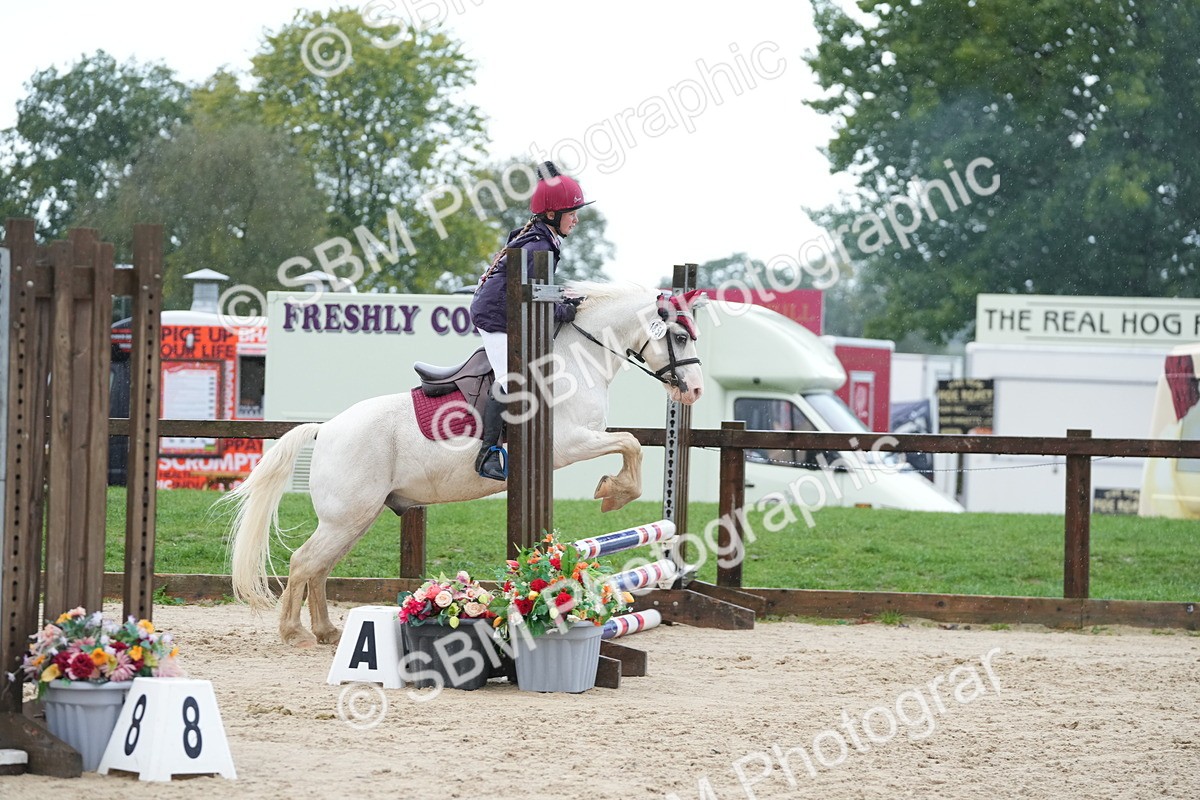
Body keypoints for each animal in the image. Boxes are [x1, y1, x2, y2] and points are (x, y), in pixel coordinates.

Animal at [226, 281, 706, 647]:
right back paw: (295, 633)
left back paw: (326, 631)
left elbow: (630, 445)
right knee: (304, 563)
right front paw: (613, 493)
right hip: (347, 516)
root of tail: (326, 429)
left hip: (356, 518)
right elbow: (631, 445)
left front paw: (613, 491)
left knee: (319, 566)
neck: (574, 360)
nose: (696, 391)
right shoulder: (570, 444)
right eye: (680, 337)